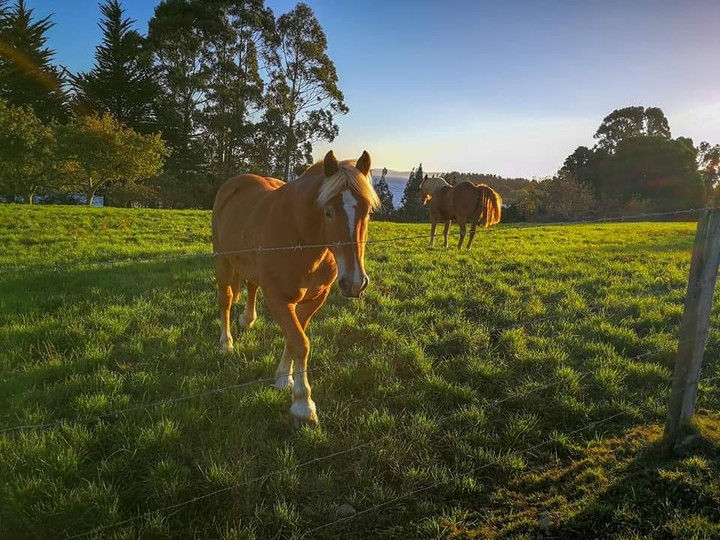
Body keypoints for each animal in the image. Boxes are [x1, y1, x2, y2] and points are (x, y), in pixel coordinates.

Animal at [211, 151, 380, 427]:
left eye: (367, 212)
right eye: (328, 212)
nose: (355, 283)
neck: (302, 239)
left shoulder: (315, 298)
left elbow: (295, 338)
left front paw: (283, 378)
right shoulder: (277, 298)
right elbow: (300, 343)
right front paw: (303, 404)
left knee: (251, 285)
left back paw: (248, 319)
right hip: (222, 262)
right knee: (225, 300)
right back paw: (226, 344)